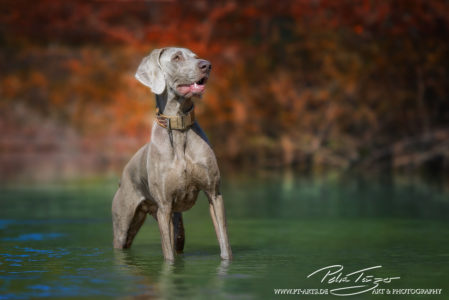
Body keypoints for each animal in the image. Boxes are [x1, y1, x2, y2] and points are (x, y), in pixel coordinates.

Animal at [111, 46, 231, 260]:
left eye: (195, 56)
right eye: (176, 57)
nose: (207, 65)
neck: (178, 127)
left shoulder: (214, 194)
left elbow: (224, 242)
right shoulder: (164, 207)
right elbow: (168, 255)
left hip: (177, 226)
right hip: (123, 225)